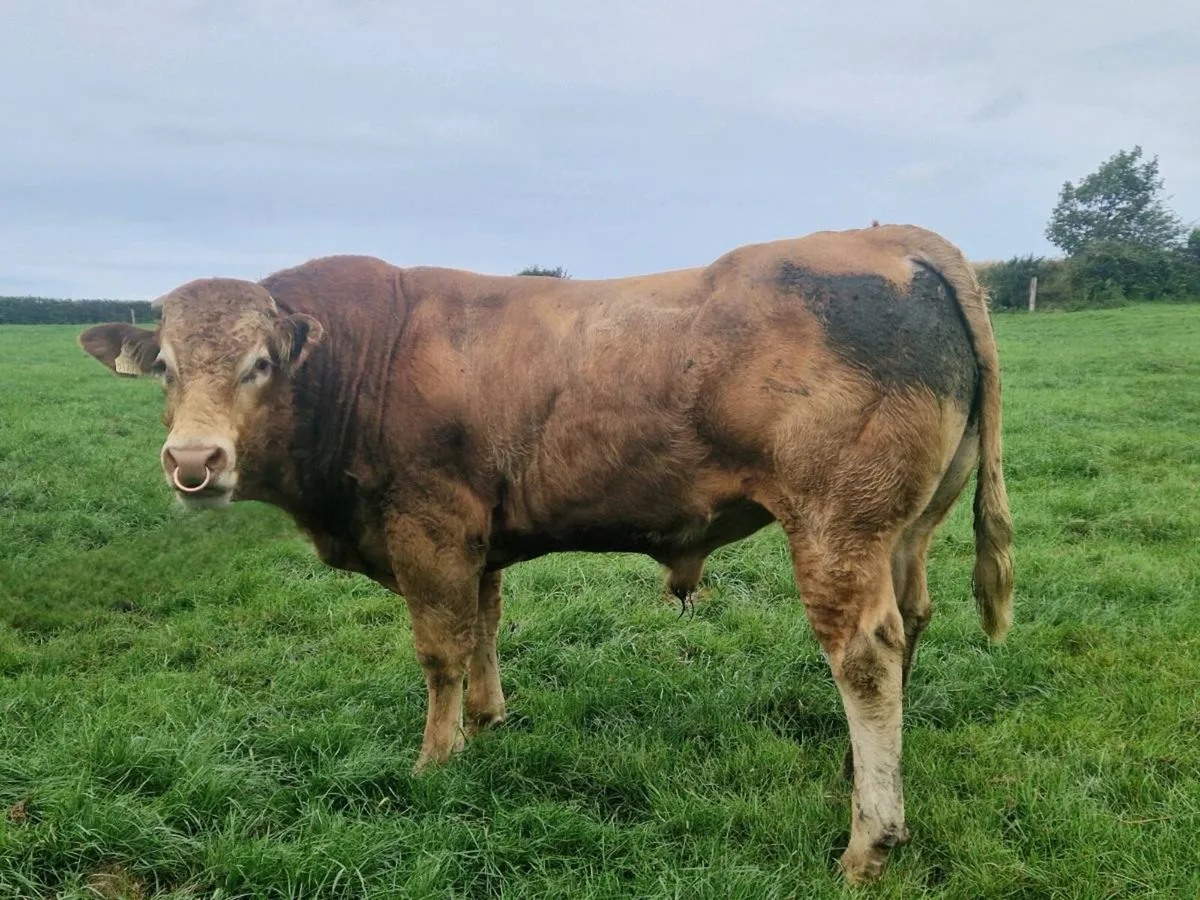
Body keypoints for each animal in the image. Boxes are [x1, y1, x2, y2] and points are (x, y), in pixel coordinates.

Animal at [78, 224, 1013, 883]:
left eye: (261, 363)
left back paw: (870, 838)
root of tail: (892, 240)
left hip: (834, 528)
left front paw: (436, 758)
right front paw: (490, 721)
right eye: (164, 365)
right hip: (906, 530)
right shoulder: (477, 535)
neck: (368, 358)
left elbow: (441, 649)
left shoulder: (428, 527)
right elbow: (486, 626)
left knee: (865, 653)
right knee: (911, 626)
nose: (194, 461)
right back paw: (857, 771)